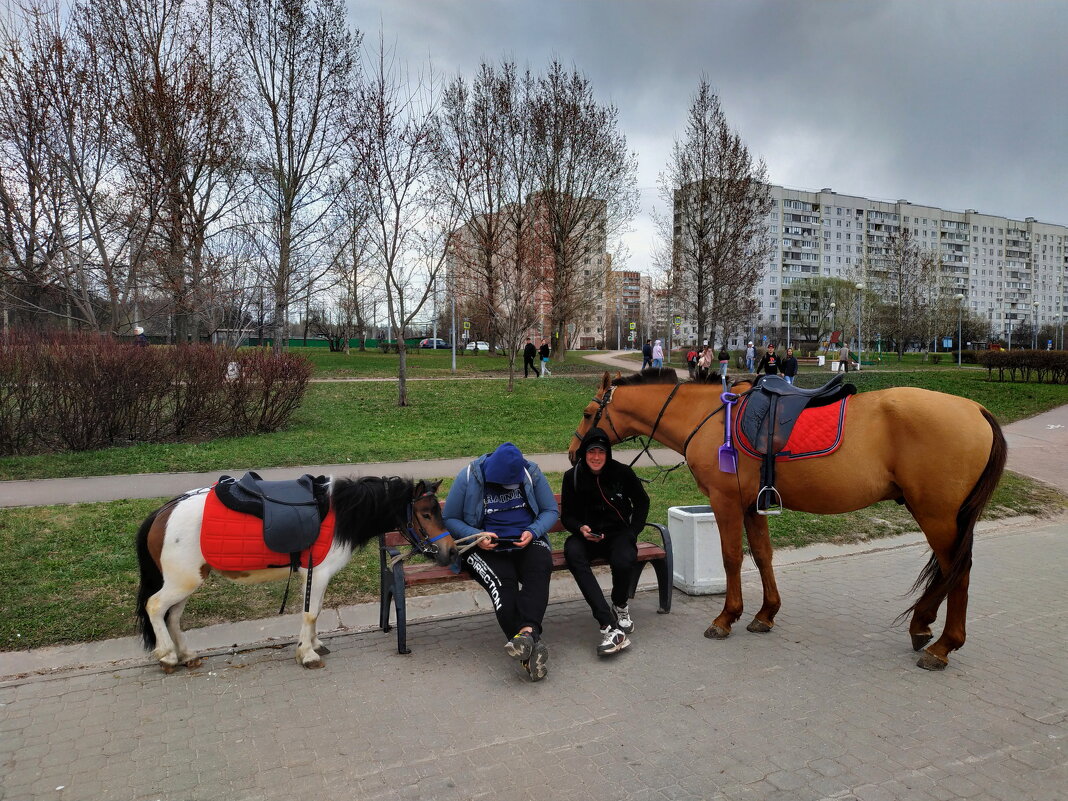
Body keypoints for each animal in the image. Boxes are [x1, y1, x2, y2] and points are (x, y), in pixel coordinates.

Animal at [135, 476, 452, 670]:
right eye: (426, 513)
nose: (449, 550)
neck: (341, 513)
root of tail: (164, 512)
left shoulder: (314, 575)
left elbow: (315, 610)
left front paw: (313, 645)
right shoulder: (319, 573)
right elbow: (310, 613)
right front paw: (307, 654)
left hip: (188, 581)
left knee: (173, 616)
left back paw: (187, 655)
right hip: (183, 581)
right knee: (155, 607)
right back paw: (168, 656)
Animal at [572, 369, 1003, 670]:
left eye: (589, 412)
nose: (576, 452)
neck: (710, 418)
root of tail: (976, 408)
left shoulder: (726, 502)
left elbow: (732, 558)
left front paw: (727, 617)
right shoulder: (751, 505)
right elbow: (762, 556)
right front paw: (765, 614)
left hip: (937, 515)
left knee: (959, 572)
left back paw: (943, 646)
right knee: (950, 572)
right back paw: (922, 624)